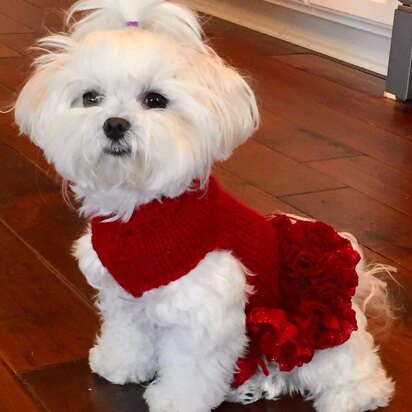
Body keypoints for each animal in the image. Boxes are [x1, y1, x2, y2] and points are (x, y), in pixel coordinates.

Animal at [15, 1, 396, 410]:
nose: (114, 124)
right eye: (90, 98)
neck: (143, 212)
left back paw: (352, 396)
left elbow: (190, 368)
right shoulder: (123, 295)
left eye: (155, 100)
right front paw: (120, 364)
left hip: (324, 339)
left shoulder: (202, 310)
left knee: (354, 370)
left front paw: (174, 399)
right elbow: (128, 334)